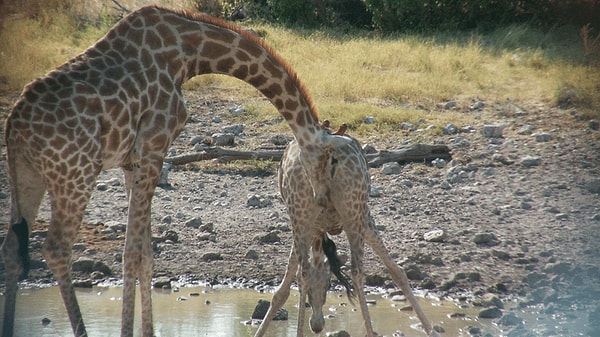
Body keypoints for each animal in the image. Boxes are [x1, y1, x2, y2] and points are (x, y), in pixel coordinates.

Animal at [1, 5, 342, 336]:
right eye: (328, 161)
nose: (325, 204)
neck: (189, 54)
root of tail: (14, 126)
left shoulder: (133, 161)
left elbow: (146, 254)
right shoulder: (154, 147)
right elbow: (132, 253)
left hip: (27, 175)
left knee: (13, 248)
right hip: (76, 174)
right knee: (56, 248)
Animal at [253, 131, 440, 336]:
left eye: (328, 284)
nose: (317, 326)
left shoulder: (339, 223)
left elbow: (397, 272)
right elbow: (282, 291)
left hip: (330, 216)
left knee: (336, 271)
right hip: (337, 216)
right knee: (348, 271)